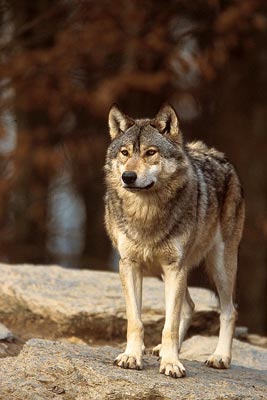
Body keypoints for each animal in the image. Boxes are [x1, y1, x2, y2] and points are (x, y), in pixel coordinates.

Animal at [104, 103, 245, 378]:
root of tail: (218, 155)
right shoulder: (129, 265)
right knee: (189, 305)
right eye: (125, 153)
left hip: (220, 266)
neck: (146, 212)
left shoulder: (174, 267)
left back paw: (220, 357)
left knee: (228, 311)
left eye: (150, 152)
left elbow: (168, 325)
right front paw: (131, 356)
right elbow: (136, 320)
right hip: (168, 272)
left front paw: (171, 363)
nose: (128, 176)